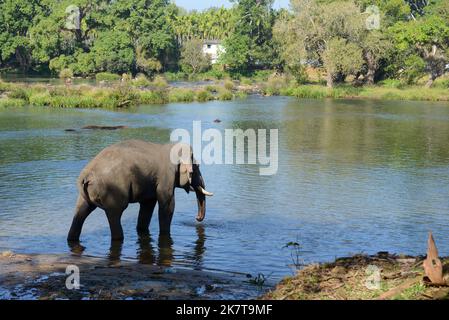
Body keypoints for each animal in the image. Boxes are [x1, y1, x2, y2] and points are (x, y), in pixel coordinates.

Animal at [67, 139, 214, 241]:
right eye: (197, 167)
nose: (197, 218)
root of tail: (86, 175)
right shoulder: (166, 176)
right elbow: (167, 205)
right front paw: (165, 234)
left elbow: (148, 205)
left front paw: (142, 230)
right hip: (112, 191)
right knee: (115, 214)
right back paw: (119, 238)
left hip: (84, 195)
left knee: (81, 212)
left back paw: (71, 239)